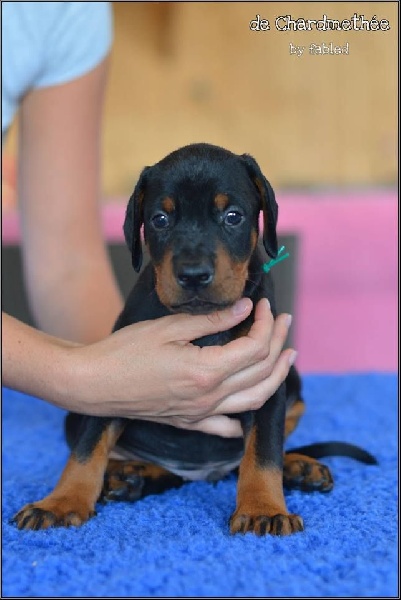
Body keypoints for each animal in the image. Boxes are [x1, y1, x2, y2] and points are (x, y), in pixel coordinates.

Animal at [13, 143, 376, 535]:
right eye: (160, 219)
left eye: (233, 216)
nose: (193, 275)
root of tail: (205, 472)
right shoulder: (110, 381)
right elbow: (86, 448)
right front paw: (61, 502)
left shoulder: (265, 379)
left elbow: (264, 451)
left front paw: (263, 509)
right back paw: (130, 474)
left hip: (291, 379)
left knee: (245, 458)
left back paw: (297, 465)